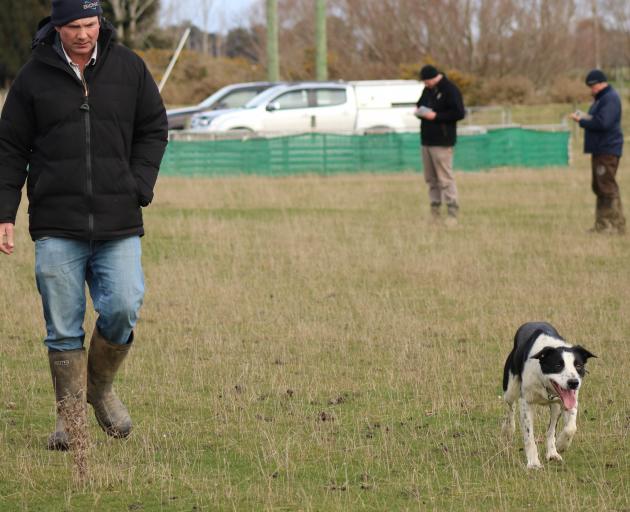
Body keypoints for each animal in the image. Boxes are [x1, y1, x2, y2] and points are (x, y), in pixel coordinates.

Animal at [504, 322, 596, 470]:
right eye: (558, 365)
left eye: (578, 365)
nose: (573, 383)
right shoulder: (526, 403)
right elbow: (529, 436)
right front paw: (533, 462)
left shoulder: (569, 401)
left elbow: (571, 428)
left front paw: (561, 445)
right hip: (510, 388)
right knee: (510, 406)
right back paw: (508, 429)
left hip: (555, 407)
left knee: (551, 429)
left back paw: (553, 453)